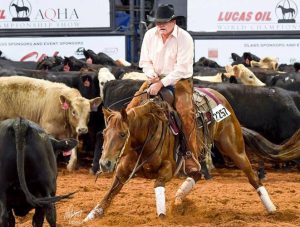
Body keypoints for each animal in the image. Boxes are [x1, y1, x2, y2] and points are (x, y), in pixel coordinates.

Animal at [84, 88, 276, 222]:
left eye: (123, 134)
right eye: (105, 133)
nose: (105, 163)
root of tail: (217, 96)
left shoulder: (168, 169)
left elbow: (158, 186)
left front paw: (162, 215)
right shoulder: (122, 172)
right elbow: (108, 195)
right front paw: (90, 216)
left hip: (234, 148)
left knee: (252, 177)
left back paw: (273, 209)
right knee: (197, 173)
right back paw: (178, 198)